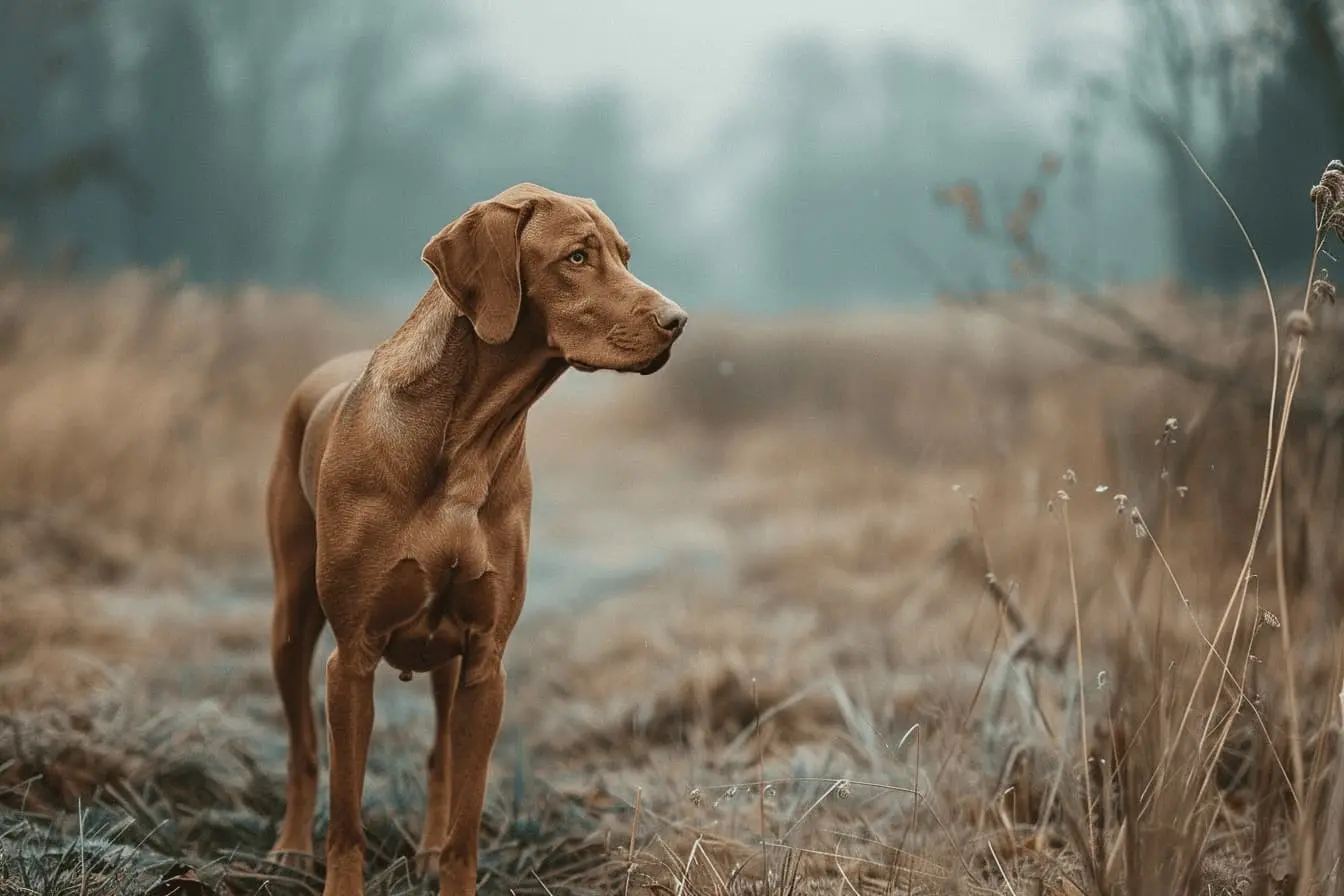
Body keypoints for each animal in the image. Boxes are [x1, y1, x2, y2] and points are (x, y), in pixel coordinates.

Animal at [262, 184, 688, 896]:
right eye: (577, 256)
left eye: (625, 256)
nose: (678, 321)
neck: (466, 441)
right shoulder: (351, 657)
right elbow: (346, 817)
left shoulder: (486, 661)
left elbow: (468, 816)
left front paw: (448, 860)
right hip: (291, 622)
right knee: (301, 749)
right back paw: (290, 849)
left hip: (446, 657)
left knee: (440, 757)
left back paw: (426, 848)